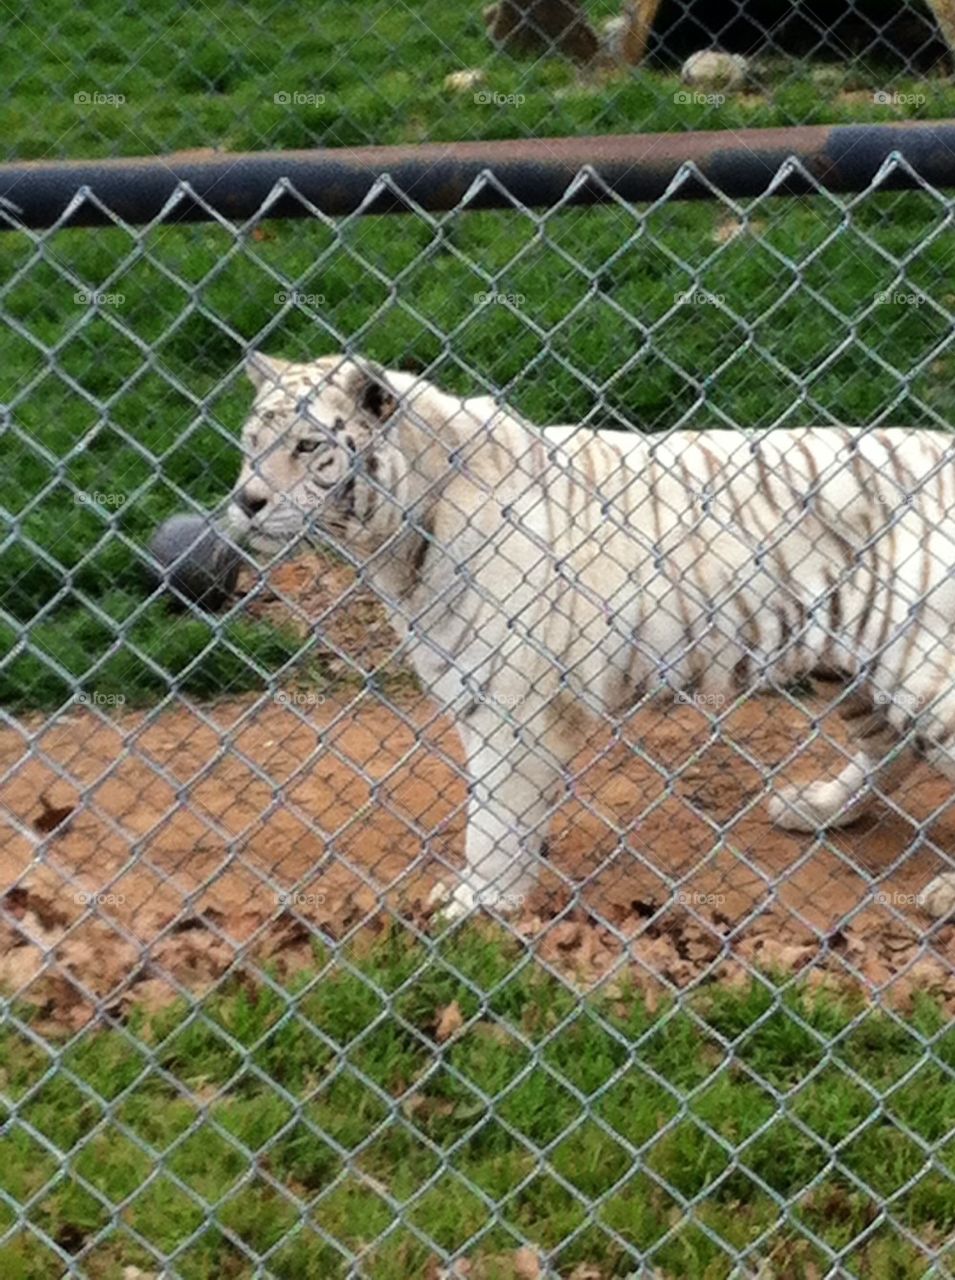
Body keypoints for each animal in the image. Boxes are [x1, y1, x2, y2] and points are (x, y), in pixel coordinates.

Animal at [228, 350, 955, 923]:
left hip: (920, 670)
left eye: (304, 446)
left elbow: (493, 817)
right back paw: (818, 809)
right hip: (851, 659)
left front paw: (478, 904)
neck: (396, 546)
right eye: (249, 443)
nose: (244, 502)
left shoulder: (511, 701)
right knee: (887, 748)